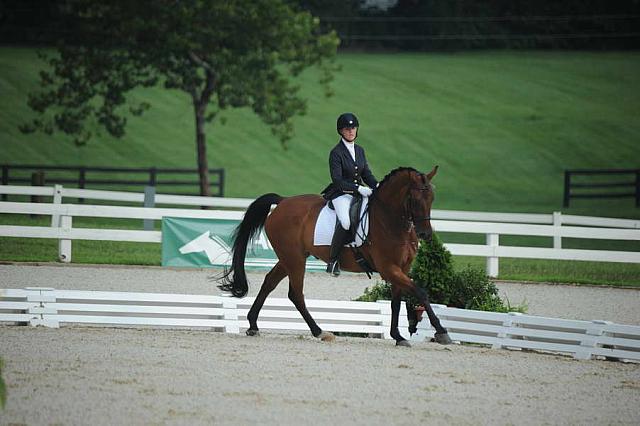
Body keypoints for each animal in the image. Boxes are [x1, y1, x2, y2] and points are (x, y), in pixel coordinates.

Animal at [218, 166, 452, 346]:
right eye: (415, 199)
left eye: (432, 198)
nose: (425, 234)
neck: (390, 220)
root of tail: (283, 201)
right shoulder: (389, 268)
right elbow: (420, 292)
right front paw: (441, 332)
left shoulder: (402, 268)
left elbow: (396, 302)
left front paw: (398, 336)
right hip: (294, 259)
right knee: (296, 294)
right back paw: (319, 331)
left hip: (289, 258)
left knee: (269, 283)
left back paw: (253, 325)